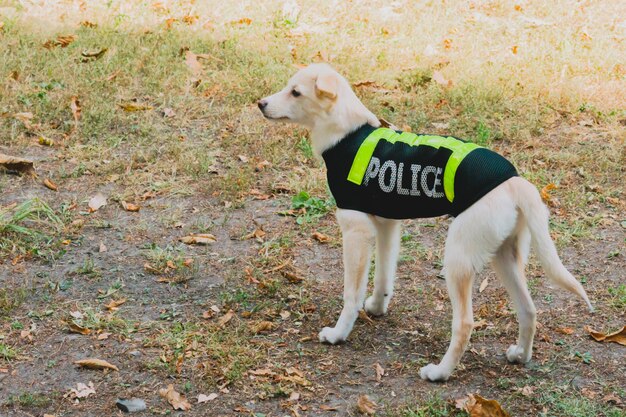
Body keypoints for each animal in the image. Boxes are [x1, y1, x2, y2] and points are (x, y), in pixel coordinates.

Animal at [258, 62, 588, 380]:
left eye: (296, 92)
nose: (260, 104)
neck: (347, 133)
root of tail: (514, 181)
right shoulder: (387, 225)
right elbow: (384, 276)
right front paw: (377, 307)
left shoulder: (355, 231)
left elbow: (351, 293)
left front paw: (339, 333)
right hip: (505, 257)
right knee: (529, 310)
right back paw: (520, 355)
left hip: (458, 259)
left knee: (465, 323)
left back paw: (440, 373)